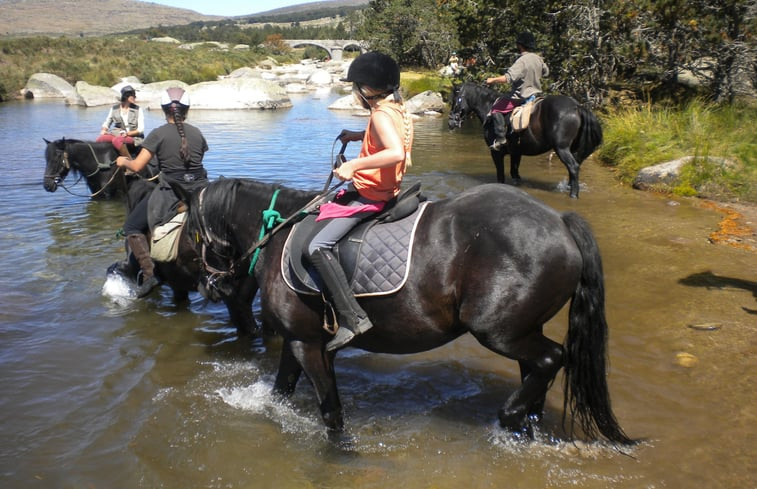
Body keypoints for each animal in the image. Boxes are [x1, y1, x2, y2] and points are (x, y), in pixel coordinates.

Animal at [176, 177, 632, 444]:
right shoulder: (300, 341)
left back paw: (510, 415)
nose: (203, 284)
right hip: (521, 330)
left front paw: (341, 452)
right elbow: (281, 392)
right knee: (537, 368)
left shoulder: (308, 345)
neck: (278, 236)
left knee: (552, 357)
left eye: (188, 229)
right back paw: (525, 421)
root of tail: (560, 222)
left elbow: (331, 412)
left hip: (500, 332)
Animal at [448, 82, 604, 198]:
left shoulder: (496, 153)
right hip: (573, 149)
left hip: (562, 148)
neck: (489, 108)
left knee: (573, 166)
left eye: (454, 100)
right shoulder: (516, 153)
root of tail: (576, 106)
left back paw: (573, 195)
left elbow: (501, 176)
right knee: (575, 167)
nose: (450, 123)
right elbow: (515, 174)